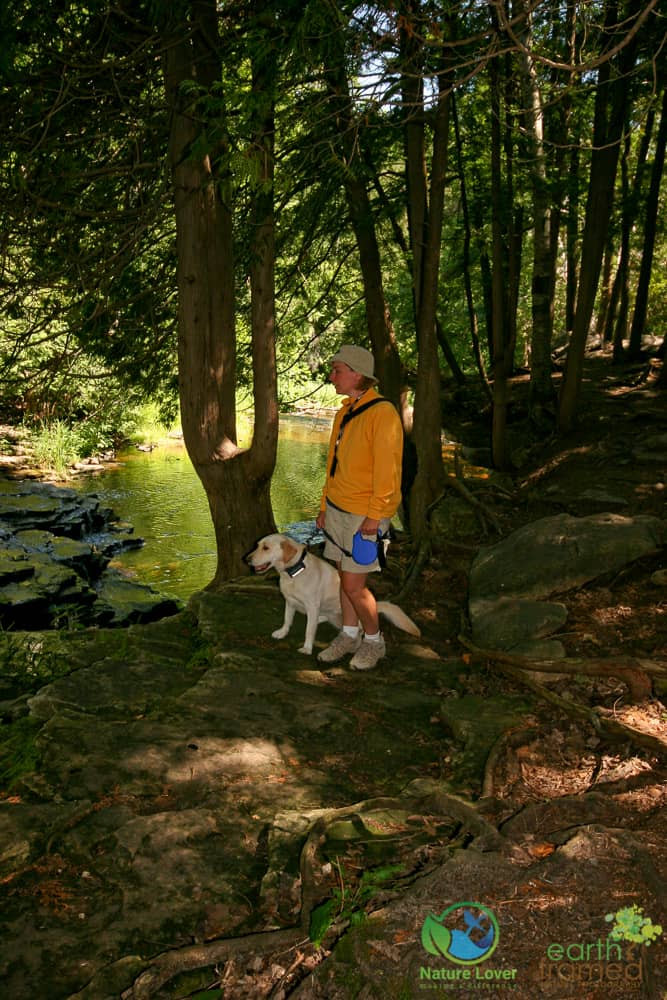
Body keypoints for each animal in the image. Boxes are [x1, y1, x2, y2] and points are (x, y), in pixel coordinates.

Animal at [248, 532, 420, 656]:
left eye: (266, 548)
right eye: (257, 546)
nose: (247, 559)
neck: (294, 572)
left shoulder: (312, 606)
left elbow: (309, 630)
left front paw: (307, 648)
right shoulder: (290, 601)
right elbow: (287, 620)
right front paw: (282, 633)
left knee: (359, 630)